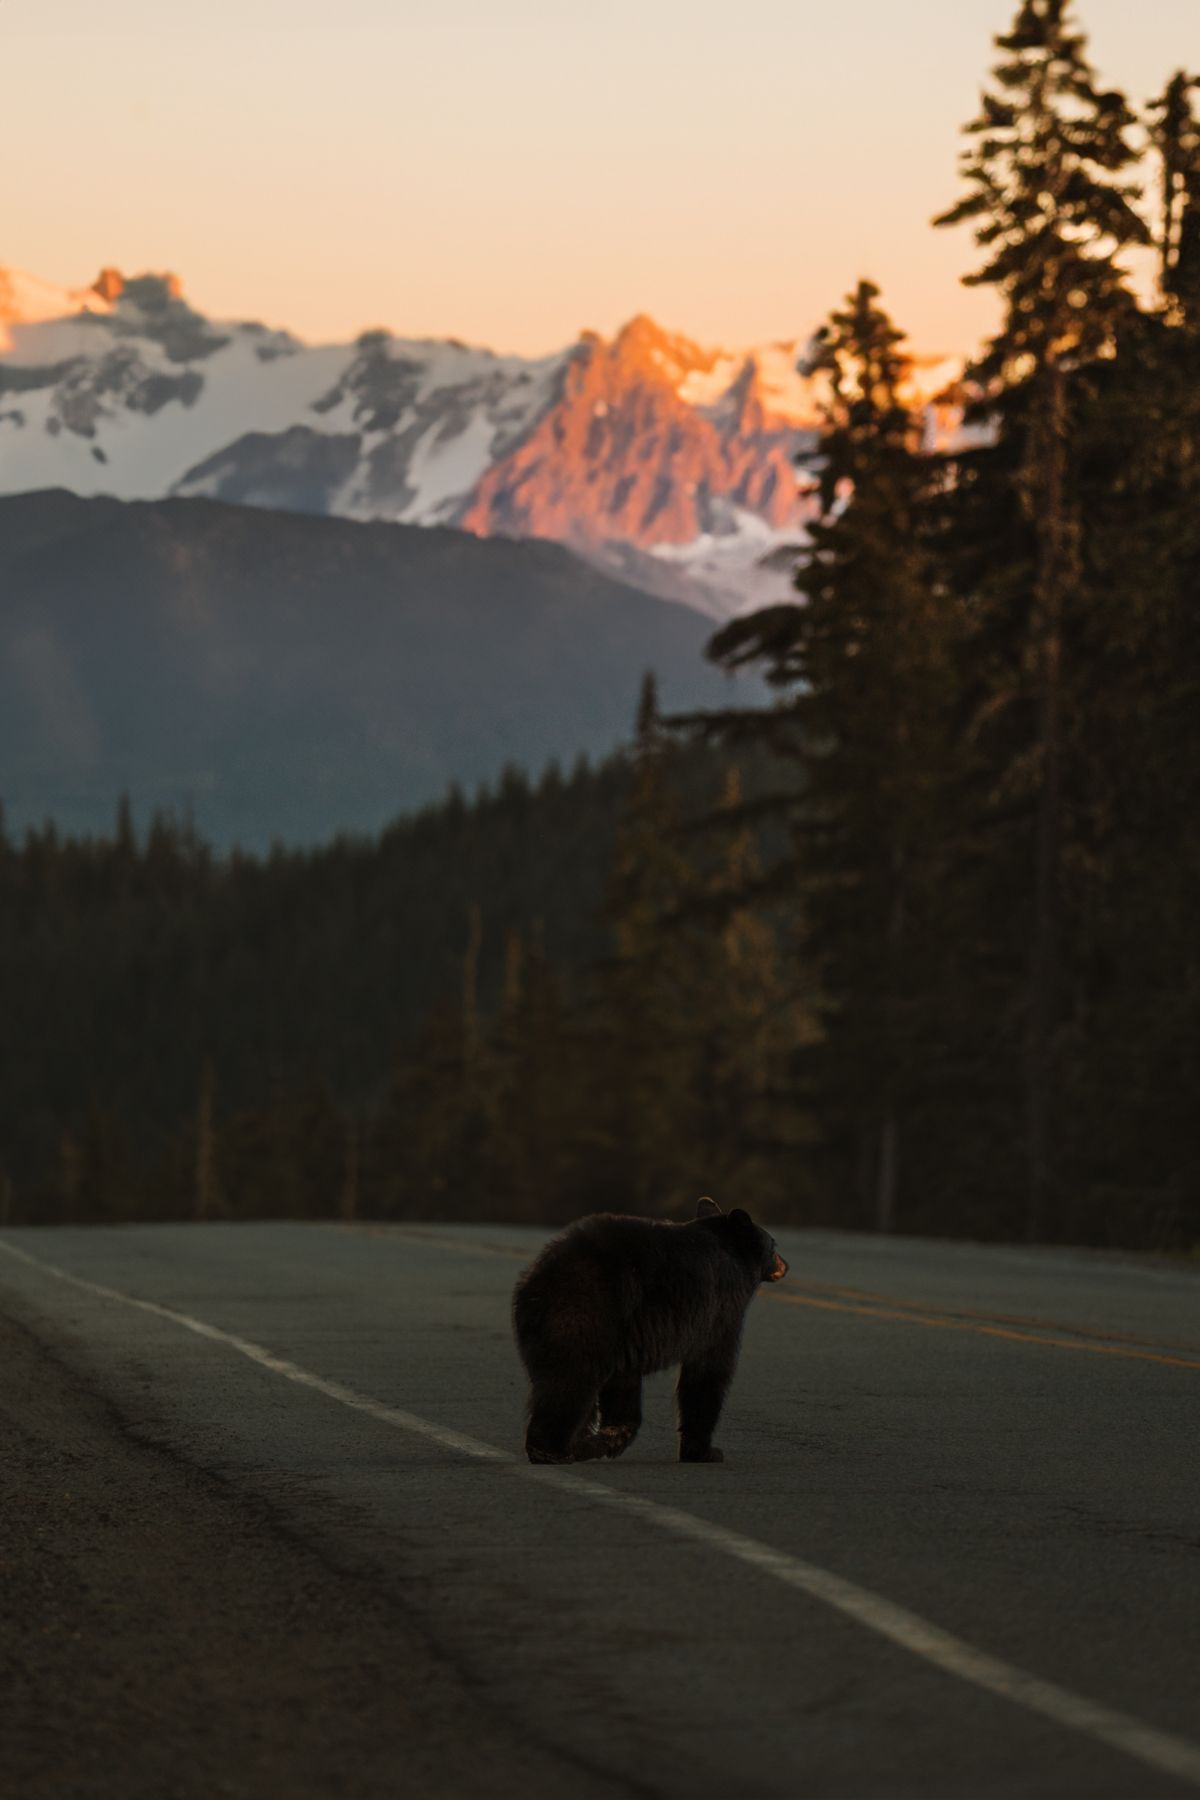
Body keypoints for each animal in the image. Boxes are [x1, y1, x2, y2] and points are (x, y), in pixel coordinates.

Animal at [511, 1196, 788, 1465]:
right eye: (774, 1245)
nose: (785, 1264)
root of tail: (540, 1279)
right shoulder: (720, 1311)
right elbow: (708, 1373)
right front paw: (704, 1451)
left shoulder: (630, 1340)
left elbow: (625, 1385)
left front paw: (614, 1434)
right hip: (586, 1315)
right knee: (571, 1381)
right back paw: (552, 1451)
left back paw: (579, 1444)